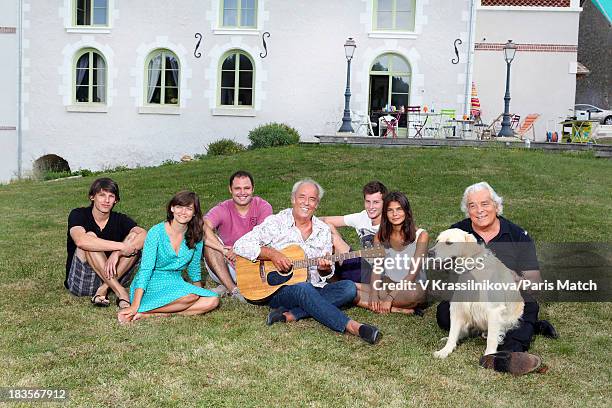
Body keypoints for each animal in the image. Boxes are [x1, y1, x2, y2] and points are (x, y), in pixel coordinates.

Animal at [428, 228, 524, 358]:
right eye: (437, 241)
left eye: (449, 243)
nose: (429, 253)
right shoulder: (457, 306)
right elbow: (453, 332)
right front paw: (445, 350)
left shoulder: (494, 310)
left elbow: (492, 339)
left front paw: (489, 355)